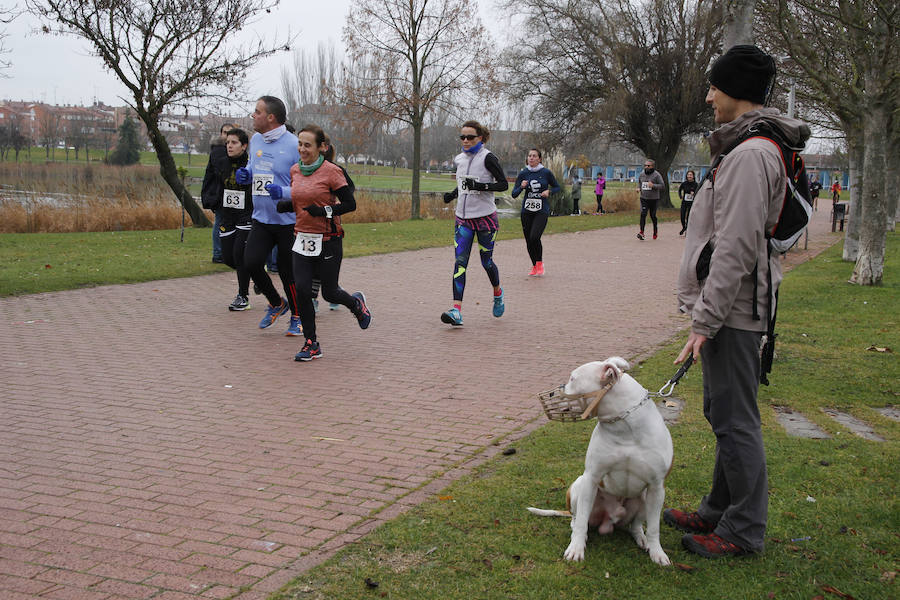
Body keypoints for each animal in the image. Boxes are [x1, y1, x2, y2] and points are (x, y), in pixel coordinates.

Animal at [536, 358, 676, 564]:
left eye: (572, 378)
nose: (553, 392)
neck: (625, 428)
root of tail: (609, 520)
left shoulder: (657, 487)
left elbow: (654, 528)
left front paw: (657, 553)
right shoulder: (592, 477)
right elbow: (581, 522)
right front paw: (576, 549)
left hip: (645, 497)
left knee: (636, 524)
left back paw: (642, 538)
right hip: (579, 486)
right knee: (577, 519)